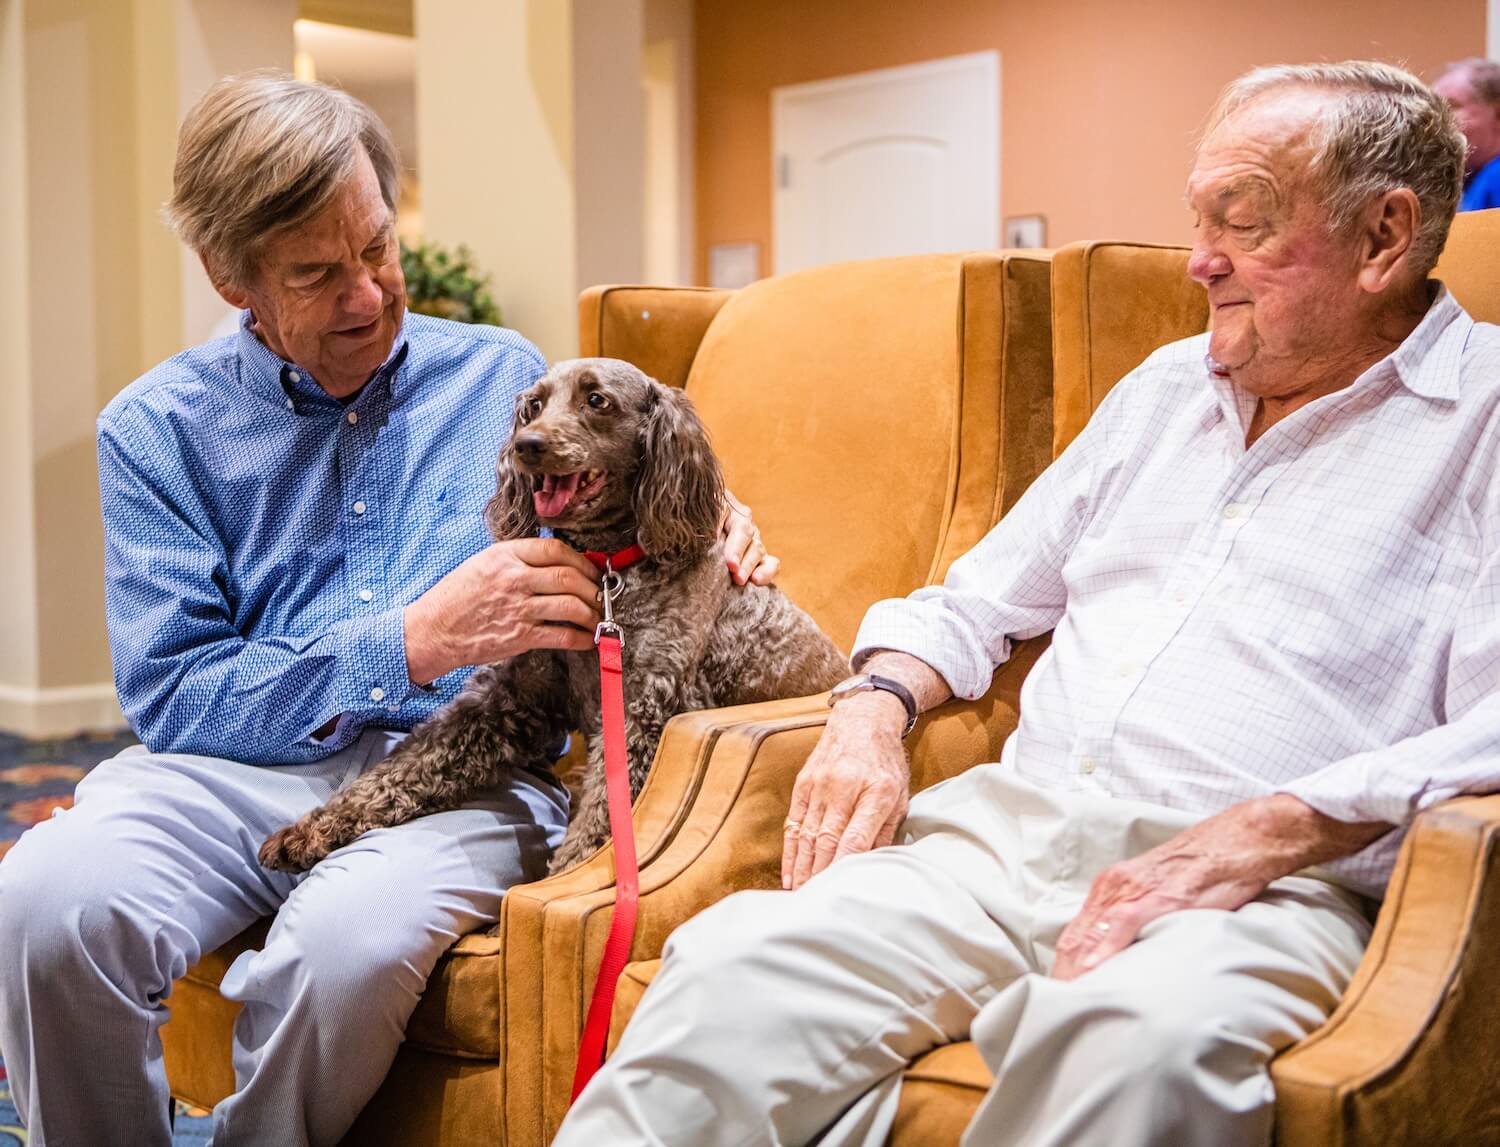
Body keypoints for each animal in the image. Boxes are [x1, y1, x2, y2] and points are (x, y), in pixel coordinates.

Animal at [255, 358, 846, 875]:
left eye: (596, 400)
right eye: (533, 406)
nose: (527, 445)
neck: (608, 575)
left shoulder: (643, 718)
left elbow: (603, 822)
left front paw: (561, 878)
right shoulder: (505, 702)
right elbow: (408, 765)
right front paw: (310, 830)